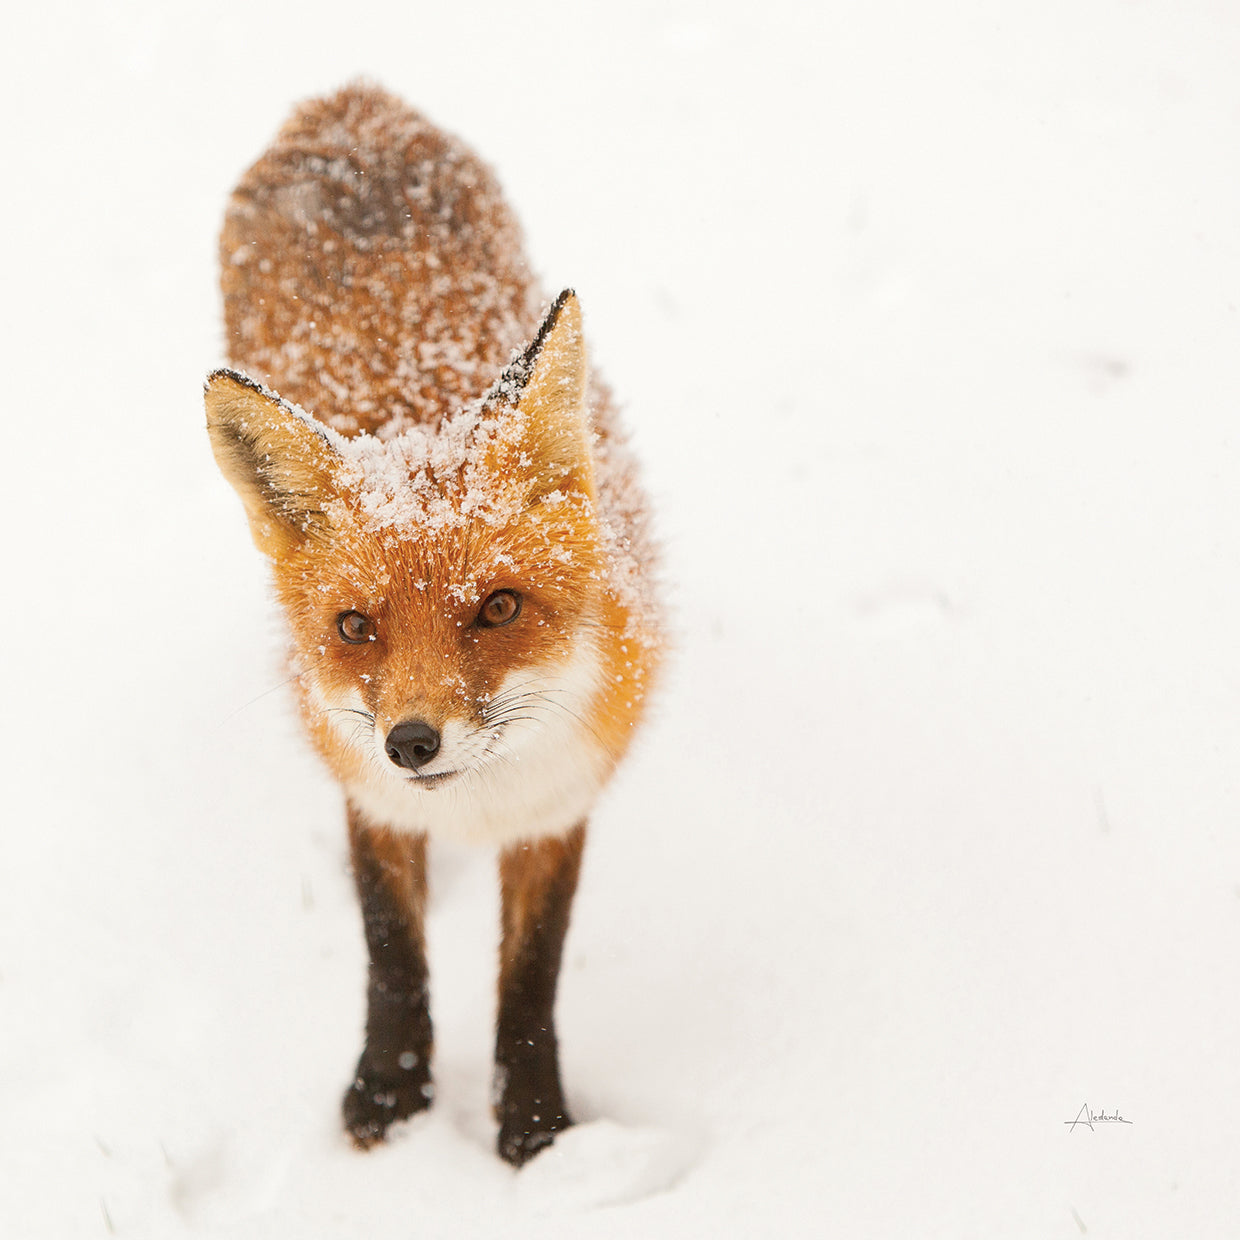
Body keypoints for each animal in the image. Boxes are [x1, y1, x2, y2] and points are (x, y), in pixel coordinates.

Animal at [204, 83, 661, 1167]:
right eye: (354, 626)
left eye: (497, 608)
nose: (412, 741)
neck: (476, 805)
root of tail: (351, 97)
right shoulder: (371, 797)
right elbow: (391, 951)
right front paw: (389, 1092)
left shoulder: (557, 805)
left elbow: (530, 977)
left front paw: (534, 1126)